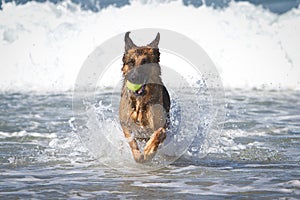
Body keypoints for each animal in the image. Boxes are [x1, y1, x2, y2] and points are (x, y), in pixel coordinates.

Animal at [119, 31, 171, 162]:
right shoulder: (125, 124)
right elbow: (131, 140)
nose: (133, 78)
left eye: (145, 62)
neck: (140, 102)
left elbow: (159, 133)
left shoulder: (161, 126)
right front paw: (138, 156)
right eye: (131, 62)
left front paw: (148, 151)